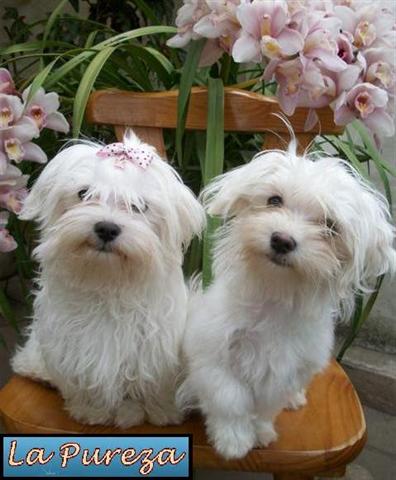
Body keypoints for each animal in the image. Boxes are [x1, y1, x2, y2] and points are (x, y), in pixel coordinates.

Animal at [11, 130, 204, 428]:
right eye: (83, 193)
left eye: (139, 206)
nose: (106, 228)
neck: (108, 283)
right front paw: (92, 411)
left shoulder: (156, 350)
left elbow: (155, 386)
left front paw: (161, 412)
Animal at [183, 141, 396, 460]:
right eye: (274, 200)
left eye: (330, 226)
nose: (282, 240)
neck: (277, 291)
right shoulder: (214, 354)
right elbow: (230, 399)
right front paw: (233, 440)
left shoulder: (285, 370)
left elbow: (264, 407)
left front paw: (260, 432)